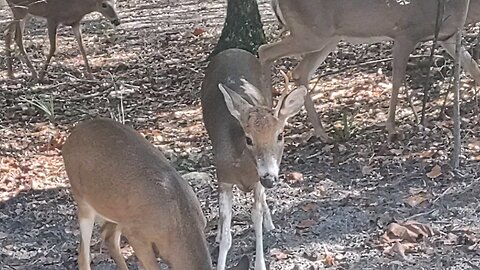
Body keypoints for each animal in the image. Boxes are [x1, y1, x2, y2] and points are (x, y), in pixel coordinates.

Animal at [62, 119, 249, 270]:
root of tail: (71, 137)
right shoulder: (137, 234)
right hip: (83, 200)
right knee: (83, 256)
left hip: (116, 210)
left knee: (108, 236)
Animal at [200, 48, 306, 270]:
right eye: (248, 138)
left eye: (280, 135)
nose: (269, 177)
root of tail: (233, 49)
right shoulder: (224, 177)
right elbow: (226, 235)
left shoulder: (258, 182)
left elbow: (255, 218)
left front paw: (260, 264)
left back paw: (270, 224)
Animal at [260, 0, 480, 142]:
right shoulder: (405, 34)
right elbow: (397, 79)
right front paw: (391, 127)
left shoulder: (447, 37)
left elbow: (473, 67)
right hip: (312, 34)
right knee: (265, 51)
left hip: (328, 37)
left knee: (300, 71)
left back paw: (322, 133)